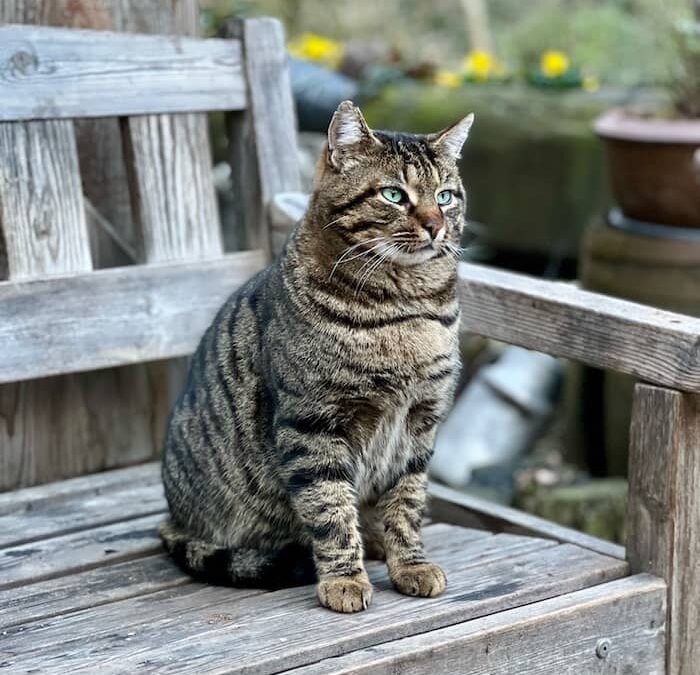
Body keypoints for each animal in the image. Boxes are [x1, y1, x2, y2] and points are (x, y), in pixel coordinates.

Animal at [161, 100, 474, 612]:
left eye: (446, 196)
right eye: (394, 195)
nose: (436, 225)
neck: (405, 309)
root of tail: (173, 517)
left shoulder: (421, 424)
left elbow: (406, 505)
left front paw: (411, 564)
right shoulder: (313, 426)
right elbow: (330, 510)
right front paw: (344, 579)